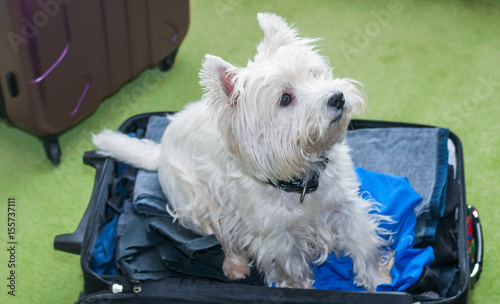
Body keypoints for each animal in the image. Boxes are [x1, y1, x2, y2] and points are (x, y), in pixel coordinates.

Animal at [93, 13, 390, 290]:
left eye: (313, 74)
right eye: (285, 99)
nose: (337, 98)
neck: (301, 180)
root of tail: (161, 147)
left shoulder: (346, 207)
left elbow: (364, 244)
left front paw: (379, 281)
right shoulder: (277, 237)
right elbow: (291, 268)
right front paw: (299, 287)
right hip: (199, 204)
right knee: (223, 238)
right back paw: (235, 266)